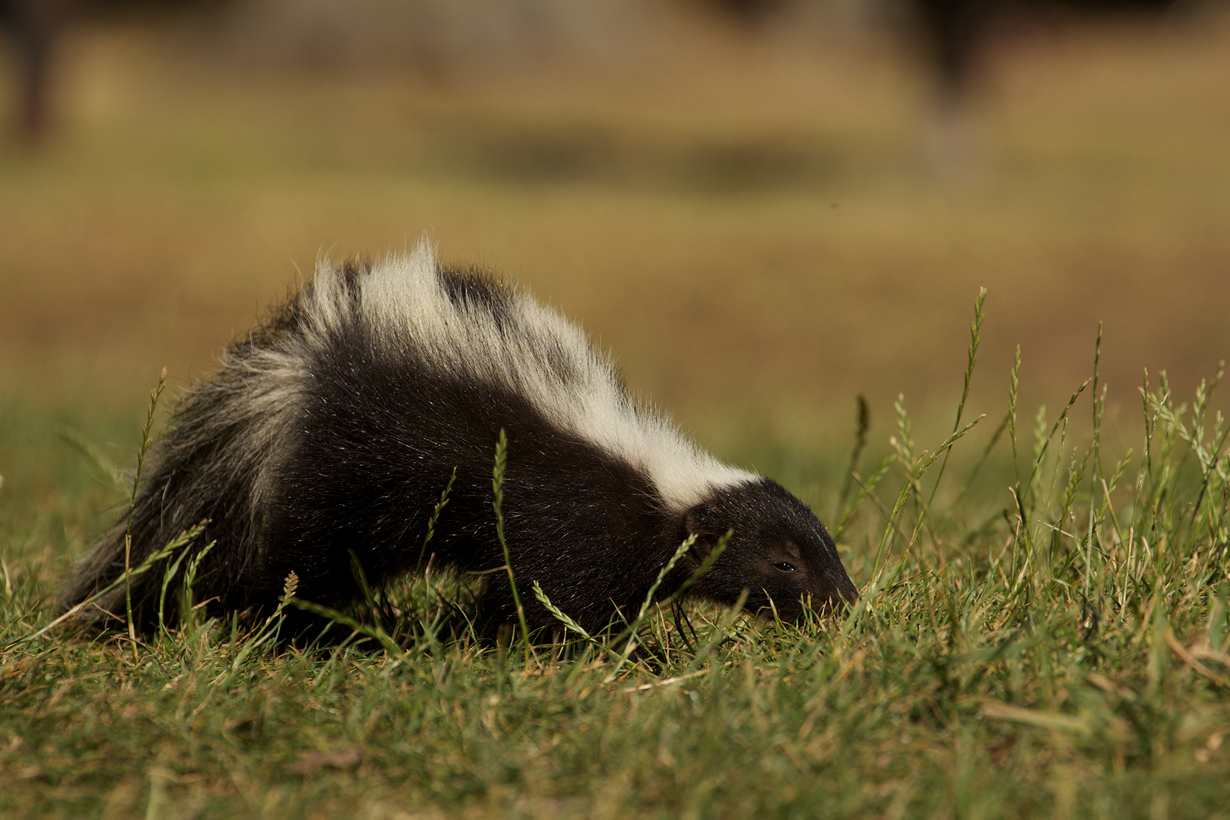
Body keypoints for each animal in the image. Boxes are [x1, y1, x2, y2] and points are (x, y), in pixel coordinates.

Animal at [62, 243, 861, 634]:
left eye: (823, 552)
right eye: (785, 565)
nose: (846, 604)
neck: (657, 481)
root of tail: (309, 360)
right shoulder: (567, 519)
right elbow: (544, 595)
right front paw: (546, 648)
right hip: (345, 475)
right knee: (297, 559)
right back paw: (279, 625)